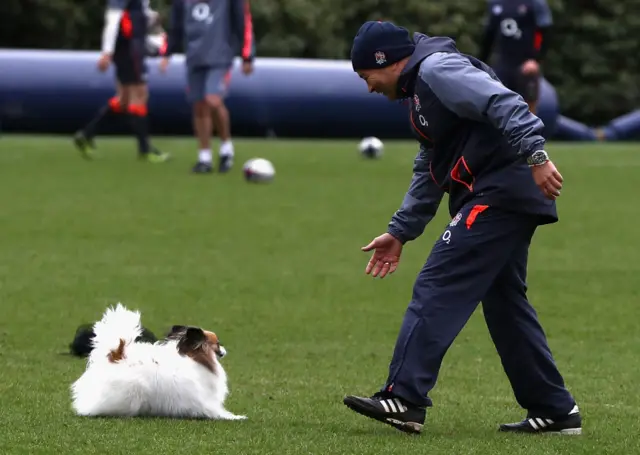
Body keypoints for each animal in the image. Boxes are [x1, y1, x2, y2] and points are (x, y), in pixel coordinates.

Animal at [70, 302, 245, 420]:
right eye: (218, 343)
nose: (224, 350)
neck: (197, 360)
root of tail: (116, 355)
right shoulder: (204, 401)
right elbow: (217, 412)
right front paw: (236, 417)